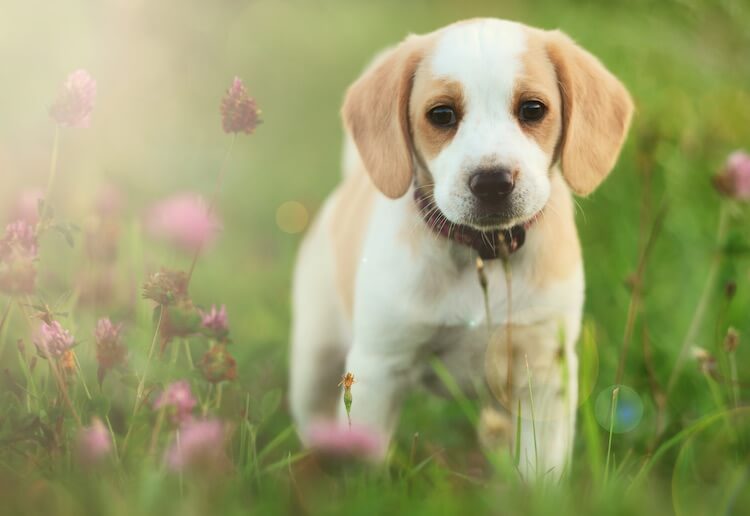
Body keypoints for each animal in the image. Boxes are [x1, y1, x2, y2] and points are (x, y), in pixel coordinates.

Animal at [290, 19, 632, 480]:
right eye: (441, 115)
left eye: (532, 109)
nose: (492, 182)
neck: (481, 253)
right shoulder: (379, 367)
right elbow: (367, 461)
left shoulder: (544, 372)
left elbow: (540, 469)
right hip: (315, 357)